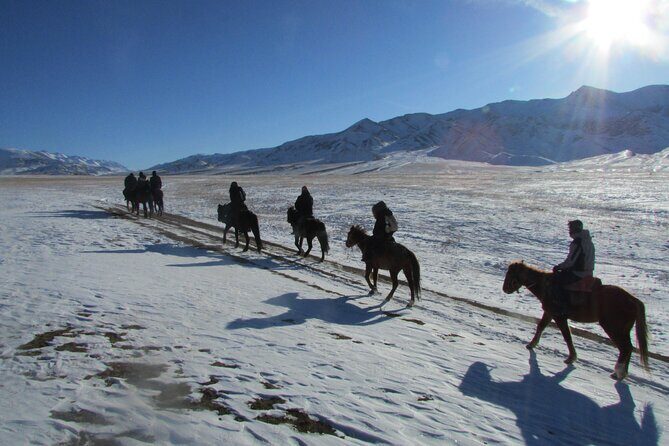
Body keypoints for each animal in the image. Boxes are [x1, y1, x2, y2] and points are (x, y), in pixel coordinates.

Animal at [502, 261, 649, 380]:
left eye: (510, 274)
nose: (505, 289)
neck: (546, 286)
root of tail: (633, 300)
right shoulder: (549, 313)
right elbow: (541, 326)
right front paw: (531, 344)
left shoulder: (559, 316)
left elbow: (567, 336)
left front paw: (571, 357)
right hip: (622, 330)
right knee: (628, 348)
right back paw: (621, 373)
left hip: (613, 328)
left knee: (625, 348)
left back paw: (618, 373)